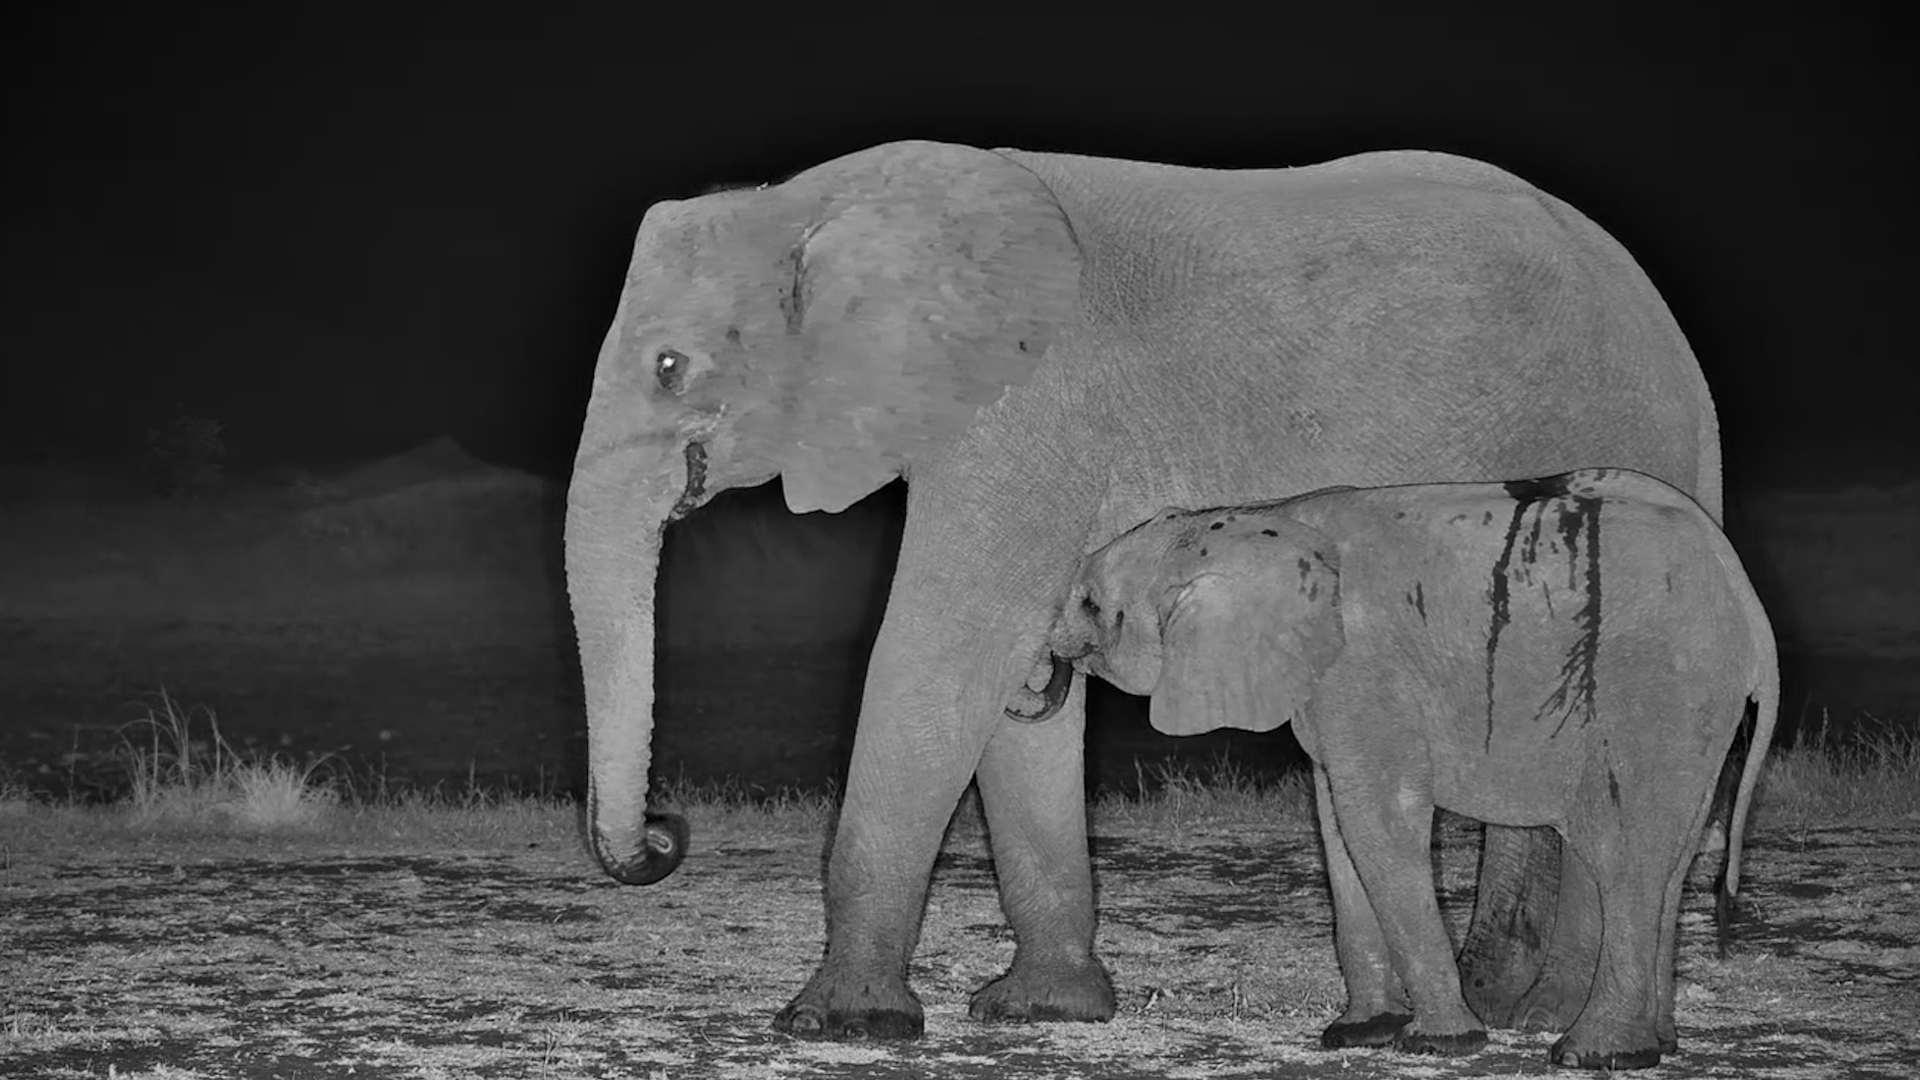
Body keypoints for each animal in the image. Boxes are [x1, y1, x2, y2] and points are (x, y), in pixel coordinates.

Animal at [562, 139, 1723, 1040]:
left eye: (669, 367)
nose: (661, 839)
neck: (817, 200)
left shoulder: (1033, 407)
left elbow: (945, 647)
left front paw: (838, 1023)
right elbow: (1003, 680)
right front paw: (1043, 1010)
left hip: (1625, 442)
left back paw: (1542, 1015)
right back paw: (1504, 1002)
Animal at [1028, 468, 1777, 1069]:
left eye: (1092, 604)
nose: (1032, 687)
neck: (1251, 518)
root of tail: (1749, 604)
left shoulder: (1364, 667)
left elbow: (1379, 820)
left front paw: (1439, 1043)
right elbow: (1338, 825)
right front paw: (1358, 1034)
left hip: (1655, 686)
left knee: (1622, 851)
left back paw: (1593, 1055)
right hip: (1694, 702)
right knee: (1671, 856)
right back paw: (1659, 1044)